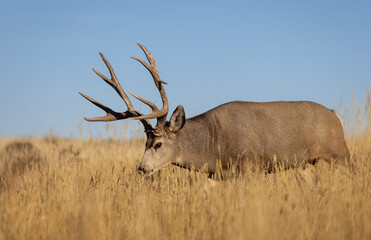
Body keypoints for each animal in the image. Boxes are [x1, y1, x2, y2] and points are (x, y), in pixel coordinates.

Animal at [80, 43, 350, 178]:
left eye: (157, 144)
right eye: (143, 143)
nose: (142, 168)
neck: (212, 144)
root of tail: (335, 115)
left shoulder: (250, 167)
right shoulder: (218, 176)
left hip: (339, 154)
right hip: (308, 164)